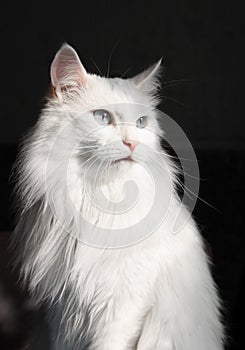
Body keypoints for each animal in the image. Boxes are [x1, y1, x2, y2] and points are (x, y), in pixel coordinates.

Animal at [12, 44, 224, 350]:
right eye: (102, 117)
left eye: (141, 123)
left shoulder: (123, 303)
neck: (97, 201)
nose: (131, 143)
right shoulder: (60, 311)